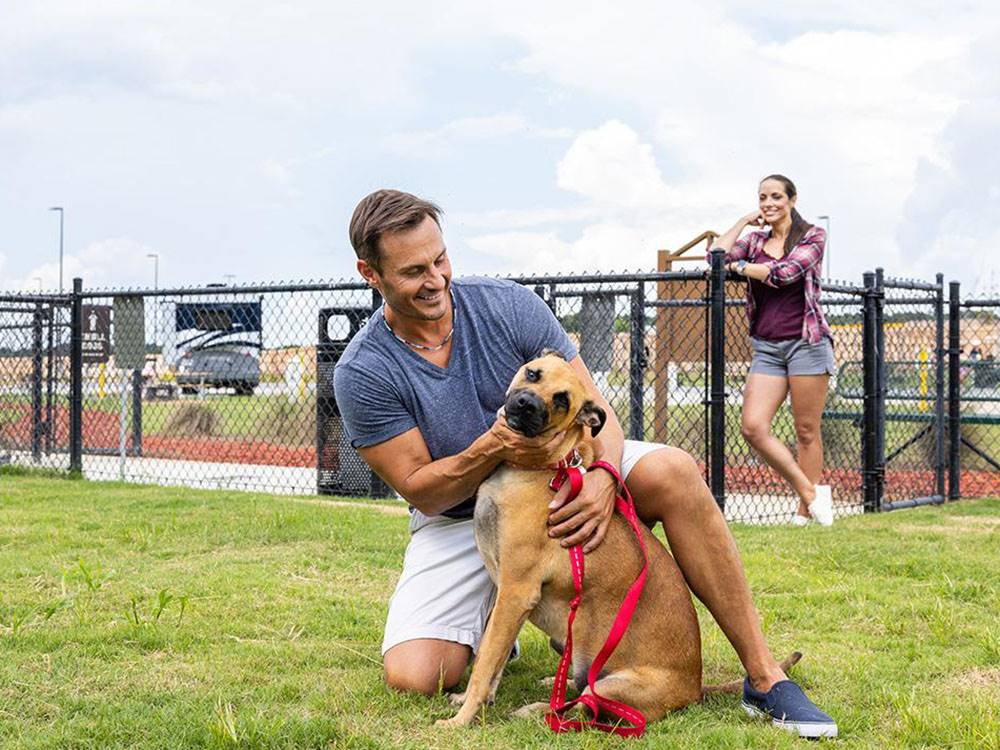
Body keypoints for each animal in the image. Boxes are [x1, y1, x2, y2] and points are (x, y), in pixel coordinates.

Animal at [440, 356, 804, 732]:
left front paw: (462, 719)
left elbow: (485, 663)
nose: (526, 404)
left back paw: (540, 708)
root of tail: (694, 688)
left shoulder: (516, 591)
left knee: (585, 710)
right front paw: (471, 702)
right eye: (532, 373)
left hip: (611, 685)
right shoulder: (506, 593)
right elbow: (492, 661)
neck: (544, 468)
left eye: (562, 400)